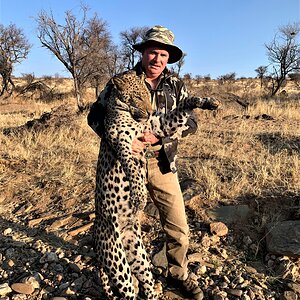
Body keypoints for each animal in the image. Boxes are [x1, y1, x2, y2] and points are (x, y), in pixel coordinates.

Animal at [92, 71, 219, 300]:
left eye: (147, 94)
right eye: (137, 96)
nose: (151, 111)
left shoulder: (158, 126)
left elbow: (180, 109)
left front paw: (204, 101)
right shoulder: (125, 146)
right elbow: (133, 171)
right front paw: (139, 198)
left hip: (138, 256)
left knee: (147, 282)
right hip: (117, 261)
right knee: (128, 291)